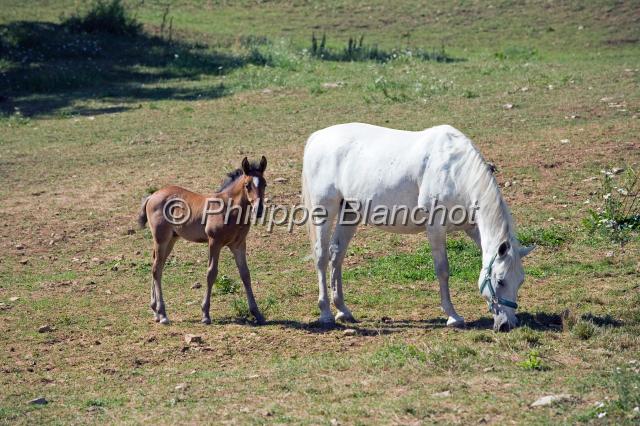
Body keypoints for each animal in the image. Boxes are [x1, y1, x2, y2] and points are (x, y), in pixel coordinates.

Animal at [137, 156, 268, 325]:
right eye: (247, 185)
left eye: (264, 184)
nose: (259, 210)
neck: (229, 209)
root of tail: (151, 196)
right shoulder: (214, 242)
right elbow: (211, 273)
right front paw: (205, 314)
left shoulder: (238, 245)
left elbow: (245, 274)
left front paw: (257, 314)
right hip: (161, 239)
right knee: (156, 269)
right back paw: (163, 314)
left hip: (171, 240)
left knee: (157, 265)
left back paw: (156, 311)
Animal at [302, 123, 534, 332]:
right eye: (500, 281)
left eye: (520, 281)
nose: (507, 325)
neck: (455, 171)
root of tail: (317, 137)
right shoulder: (435, 229)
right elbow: (442, 270)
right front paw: (453, 316)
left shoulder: (472, 228)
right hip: (324, 212)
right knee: (321, 257)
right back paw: (325, 313)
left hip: (349, 213)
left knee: (336, 255)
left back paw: (343, 310)